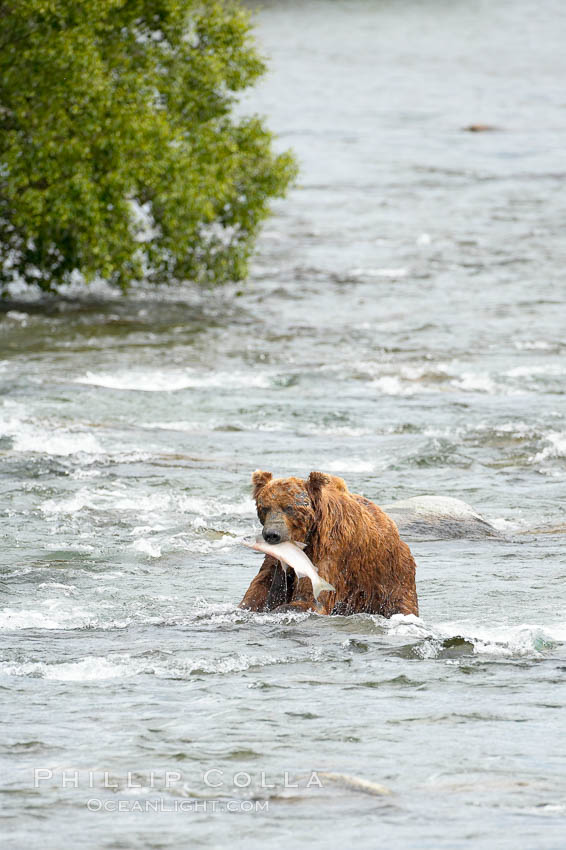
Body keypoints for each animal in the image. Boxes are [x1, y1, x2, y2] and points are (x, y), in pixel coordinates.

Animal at [241, 470, 422, 616]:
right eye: (264, 507)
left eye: (289, 508)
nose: (272, 534)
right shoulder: (276, 562)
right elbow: (259, 591)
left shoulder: (331, 550)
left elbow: (311, 600)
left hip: (390, 576)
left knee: (400, 603)